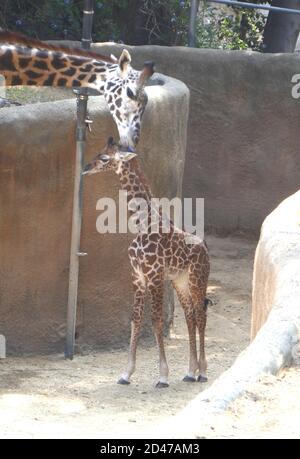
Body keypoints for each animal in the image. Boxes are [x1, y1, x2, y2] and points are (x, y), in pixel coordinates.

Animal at [83, 137, 210, 388]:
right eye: (99, 151)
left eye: (105, 158)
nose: (85, 167)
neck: (142, 224)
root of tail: (206, 249)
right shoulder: (138, 277)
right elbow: (135, 320)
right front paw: (126, 374)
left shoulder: (154, 276)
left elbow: (156, 321)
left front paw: (163, 376)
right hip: (180, 283)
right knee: (190, 316)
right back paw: (190, 372)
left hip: (197, 280)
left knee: (201, 316)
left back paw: (202, 371)